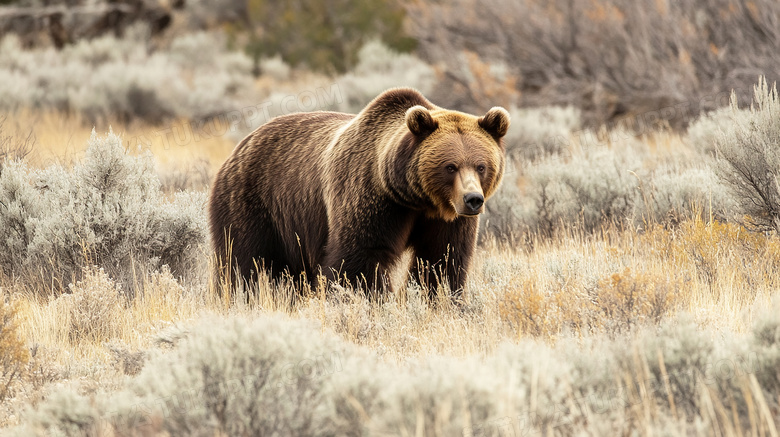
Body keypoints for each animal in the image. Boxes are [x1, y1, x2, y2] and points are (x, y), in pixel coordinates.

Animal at [210, 88, 508, 298]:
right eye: (450, 166)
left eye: (481, 166)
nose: (473, 200)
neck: (415, 198)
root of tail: (242, 143)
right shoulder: (370, 197)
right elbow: (358, 260)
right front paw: (370, 300)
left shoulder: (445, 219)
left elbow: (442, 260)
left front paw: (438, 300)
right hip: (255, 203)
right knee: (241, 261)